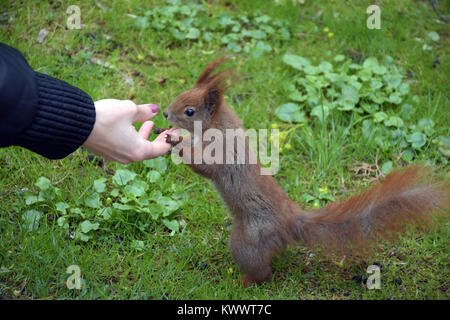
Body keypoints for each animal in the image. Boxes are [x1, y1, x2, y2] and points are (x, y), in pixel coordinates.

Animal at [162, 58, 450, 288]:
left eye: (190, 111)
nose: (165, 113)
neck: (218, 126)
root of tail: (290, 221)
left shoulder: (223, 152)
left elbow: (208, 168)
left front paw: (178, 146)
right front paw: (174, 139)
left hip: (248, 240)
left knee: (262, 271)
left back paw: (242, 282)